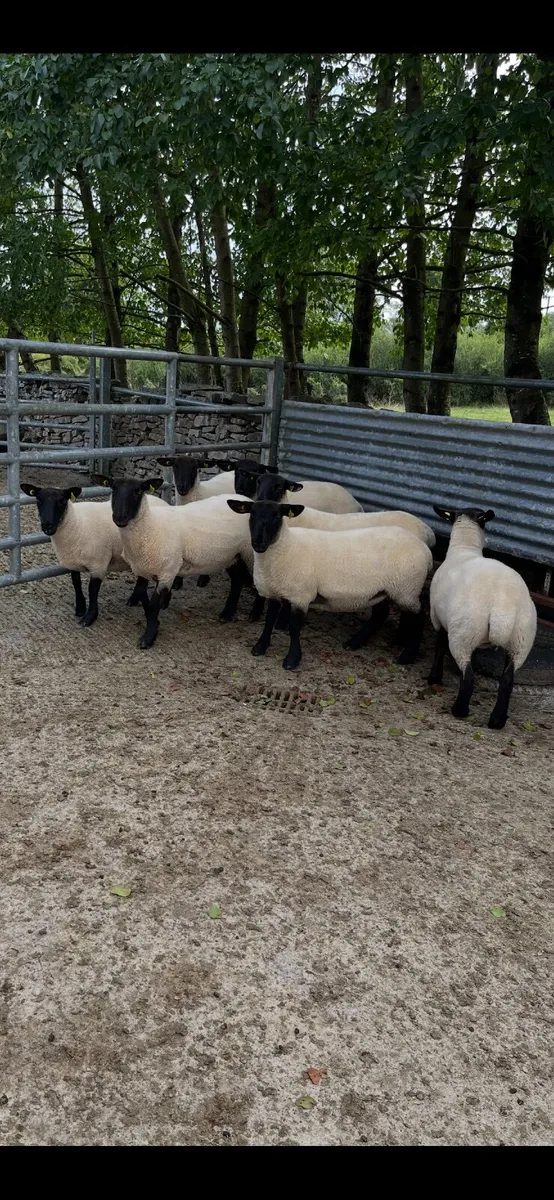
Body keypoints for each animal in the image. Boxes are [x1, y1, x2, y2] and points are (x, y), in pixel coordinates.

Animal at [20, 482, 169, 626]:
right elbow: (76, 583)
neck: (76, 523)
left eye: (62, 500)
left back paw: (162, 603)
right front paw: (80, 608)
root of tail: (162, 500)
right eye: (38, 500)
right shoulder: (73, 562)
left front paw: (89, 617)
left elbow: (92, 590)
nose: (47, 526)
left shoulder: (99, 563)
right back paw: (134, 599)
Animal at [91, 474, 257, 648]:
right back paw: (227, 613)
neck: (150, 527)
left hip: (250, 553)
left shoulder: (167, 572)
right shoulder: (144, 568)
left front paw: (148, 637)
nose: (120, 518)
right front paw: (154, 624)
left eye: (138, 490)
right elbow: (142, 596)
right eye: (113, 488)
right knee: (237, 580)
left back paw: (254, 614)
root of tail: (246, 499)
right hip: (232, 556)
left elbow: (153, 606)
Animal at [226, 498, 433, 670]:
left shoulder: (301, 595)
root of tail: (426, 549)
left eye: (277, 515)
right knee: (381, 614)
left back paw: (407, 655)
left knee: (419, 616)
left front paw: (292, 659)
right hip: (384, 589)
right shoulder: (275, 591)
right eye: (251, 514)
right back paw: (354, 643)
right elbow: (268, 621)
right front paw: (260, 647)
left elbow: (294, 628)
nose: (258, 543)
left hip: (406, 590)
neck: (286, 546)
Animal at [428, 506, 537, 729]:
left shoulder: (437, 617)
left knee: (468, 676)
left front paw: (434, 678)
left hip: (463, 633)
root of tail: (502, 606)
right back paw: (497, 721)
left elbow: (439, 647)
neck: (464, 549)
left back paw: (459, 710)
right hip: (521, 640)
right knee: (507, 680)